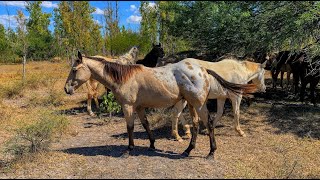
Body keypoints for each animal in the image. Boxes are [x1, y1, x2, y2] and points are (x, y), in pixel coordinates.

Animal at [65, 51, 258, 158]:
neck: (124, 78)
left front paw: (129, 149)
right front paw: (152, 144)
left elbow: (130, 128)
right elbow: (145, 125)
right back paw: (188, 150)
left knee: (209, 123)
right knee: (196, 125)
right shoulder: (139, 107)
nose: (66, 89)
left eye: (74, 70)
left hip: (198, 104)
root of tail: (203, 69)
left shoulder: (128, 107)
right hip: (191, 104)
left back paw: (211, 152)